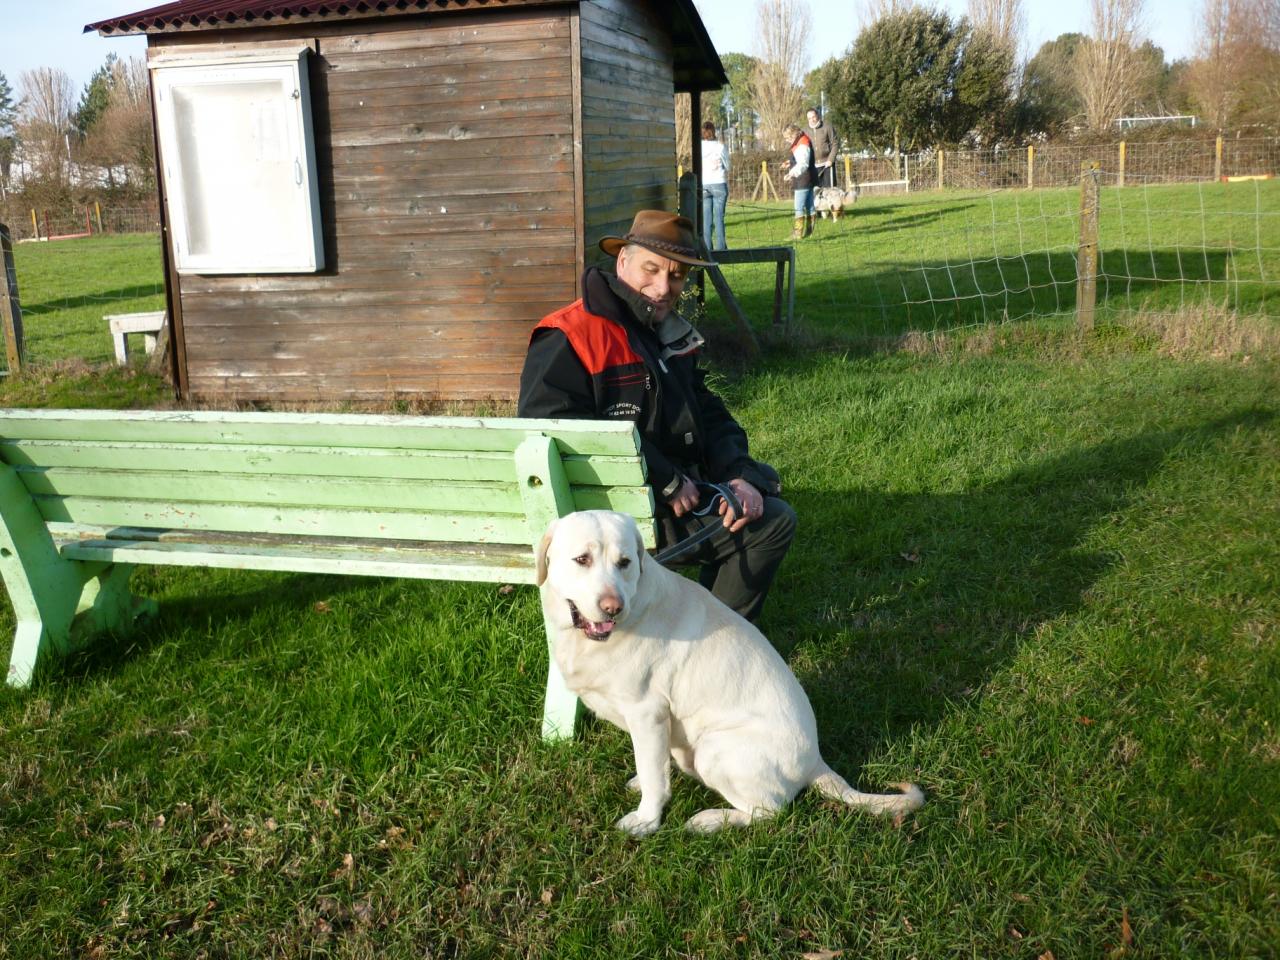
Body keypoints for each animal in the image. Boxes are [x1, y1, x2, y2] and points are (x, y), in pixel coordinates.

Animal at [535, 512, 926, 834]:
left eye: (625, 562)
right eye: (582, 560)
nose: (613, 608)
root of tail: (816, 760)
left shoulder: (648, 712)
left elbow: (654, 779)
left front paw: (646, 821)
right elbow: (653, 767)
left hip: (714, 749)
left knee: (770, 812)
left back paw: (710, 821)